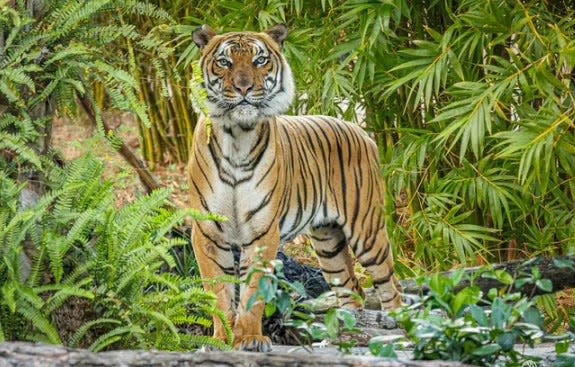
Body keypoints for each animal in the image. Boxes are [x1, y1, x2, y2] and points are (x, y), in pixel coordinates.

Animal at [189, 23, 400, 354]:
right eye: (224, 62)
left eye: (259, 61)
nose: (243, 88)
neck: (236, 135)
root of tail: (359, 128)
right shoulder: (208, 232)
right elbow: (219, 291)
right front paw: (221, 341)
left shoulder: (262, 233)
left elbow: (252, 292)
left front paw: (249, 339)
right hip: (328, 241)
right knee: (351, 288)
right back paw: (338, 336)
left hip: (367, 232)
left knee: (391, 286)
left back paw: (399, 329)